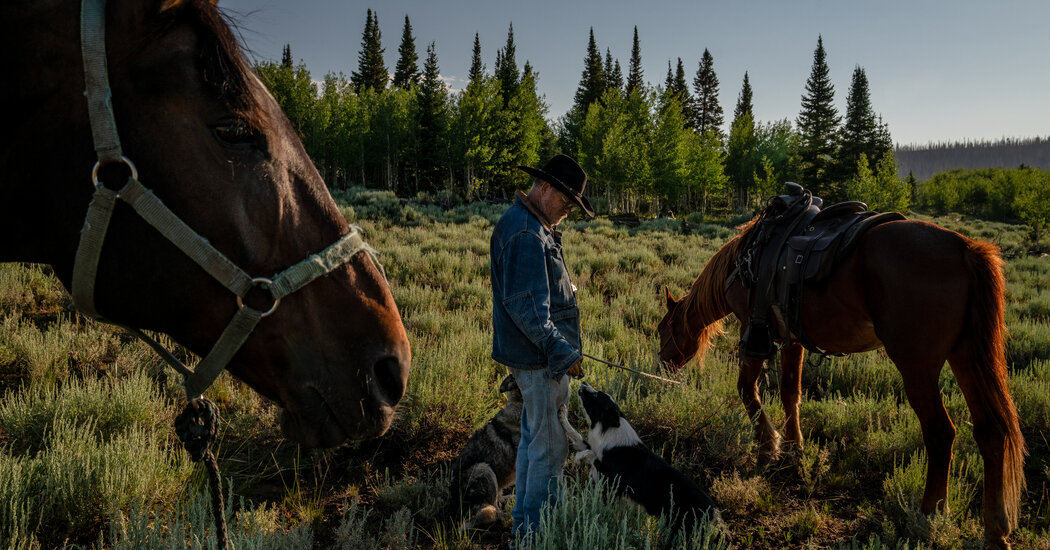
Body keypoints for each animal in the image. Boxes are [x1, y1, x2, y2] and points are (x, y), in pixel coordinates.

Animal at [558, 382, 722, 533]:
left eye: (597, 396)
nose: (583, 383)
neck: (610, 429)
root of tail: (716, 517)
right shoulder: (593, 449)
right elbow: (577, 437)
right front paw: (562, 415)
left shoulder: (609, 477)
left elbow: (592, 456)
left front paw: (578, 457)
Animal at [655, 217, 1024, 545]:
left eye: (662, 329)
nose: (663, 363)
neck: (742, 263)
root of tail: (965, 248)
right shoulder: (793, 339)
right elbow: (790, 392)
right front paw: (794, 449)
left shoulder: (753, 331)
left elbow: (747, 391)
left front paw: (768, 447)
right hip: (966, 356)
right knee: (991, 431)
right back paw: (995, 531)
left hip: (917, 366)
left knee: (940, 433)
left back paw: (928, 514)